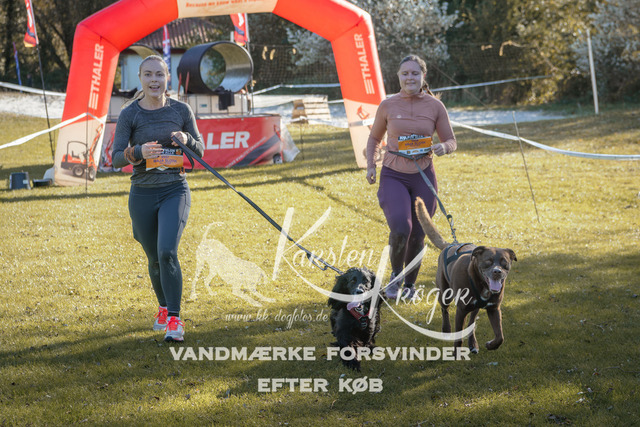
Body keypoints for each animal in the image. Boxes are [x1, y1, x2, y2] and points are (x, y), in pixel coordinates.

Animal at [415, 197, 517, 353]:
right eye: (487, 262)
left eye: (504, 263)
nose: (497, 272)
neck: (481, 284)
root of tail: (449, 245)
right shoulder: (461, 310)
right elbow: (458, 337)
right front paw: (456, 353)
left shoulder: (494, 309)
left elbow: (500, 336)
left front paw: (491, 345)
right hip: (444, 293)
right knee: (444, 309)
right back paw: (446, 330)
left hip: (474, 307)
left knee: (471, 322)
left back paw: (473, 343)